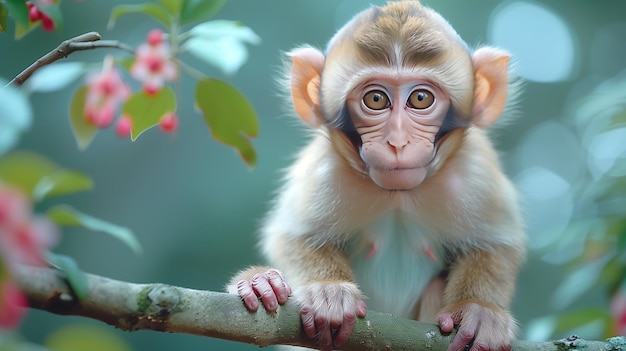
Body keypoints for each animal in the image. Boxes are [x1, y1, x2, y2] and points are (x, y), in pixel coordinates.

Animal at [227, 1, 524, 350]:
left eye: (421, 98)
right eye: (376, 99)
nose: (397, 142)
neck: (399, 195)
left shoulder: (475, 172)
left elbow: (496, 245)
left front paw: (480, 310)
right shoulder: (325, 172)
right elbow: (293, 237)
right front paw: (328, 290)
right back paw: (262, 284)